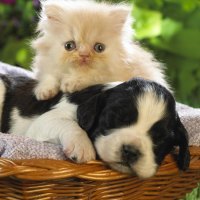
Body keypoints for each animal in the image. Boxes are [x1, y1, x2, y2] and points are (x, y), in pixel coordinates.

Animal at [0, 74, 190, 178]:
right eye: (116, 118)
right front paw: (82, 146)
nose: (130, 151)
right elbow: (69, 123)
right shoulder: (44, 121)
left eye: (159, 138)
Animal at [32, 0, 170, 100]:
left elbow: (92, 75)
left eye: (99, 48)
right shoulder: (48, 64)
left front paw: (71, 83)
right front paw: (44, 91)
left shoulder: (111, 76)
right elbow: (49, 74)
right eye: (69, 46)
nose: (84, 55)